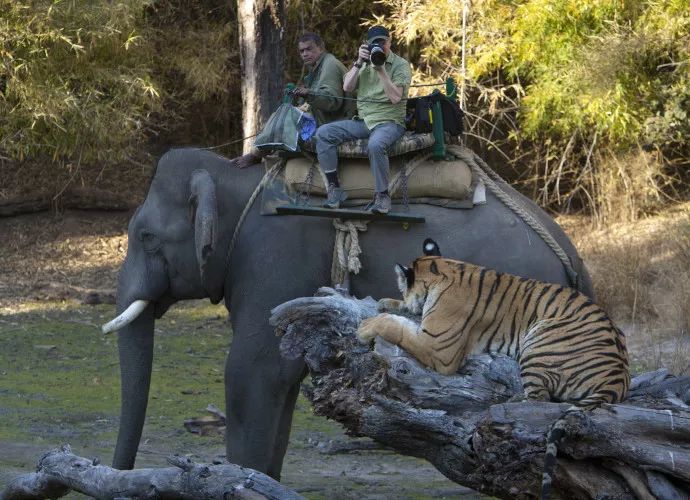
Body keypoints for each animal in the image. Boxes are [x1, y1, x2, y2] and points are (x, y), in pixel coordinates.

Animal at [102, 147, 592, 480]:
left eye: (146, 237)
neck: (233, 179)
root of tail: (572, 257)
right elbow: (283, 378)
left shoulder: (274, 257)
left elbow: (251, 371)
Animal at [354, 237, 628, 496]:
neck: (443, 268)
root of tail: (618, 379)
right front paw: (385, 303)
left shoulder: (438, 348)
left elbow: (397, 327)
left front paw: (367, 327)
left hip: (540, 339)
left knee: (539, 400)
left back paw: (510, 403)